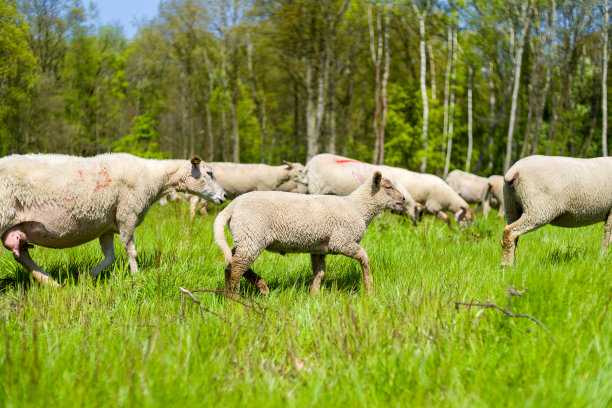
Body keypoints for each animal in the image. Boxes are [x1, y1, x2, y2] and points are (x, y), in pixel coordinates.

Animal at [0, 154, 225, 286]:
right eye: (209, 173)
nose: (223, 196)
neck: (153, 179)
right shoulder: (127, 214)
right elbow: (131, 251)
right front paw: (136, 276)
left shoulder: (106, 225)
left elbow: (110, 257)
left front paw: (85, 277)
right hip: (3, 215)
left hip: (16, 227)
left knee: (22, 255)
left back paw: (51, 282)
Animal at [215, 171, 406, 294]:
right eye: (388, 187)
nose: (403, 199)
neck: (358, 208)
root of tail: (232, 206)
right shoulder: (341, 241)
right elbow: (365, 257)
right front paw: (368, 288)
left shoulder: (320, 248)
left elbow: (319, 272)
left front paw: (314, 295)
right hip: (252, 235)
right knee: (237, 267)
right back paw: (235, 298)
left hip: (245, 236)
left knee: (231, 263)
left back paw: (255, 289)